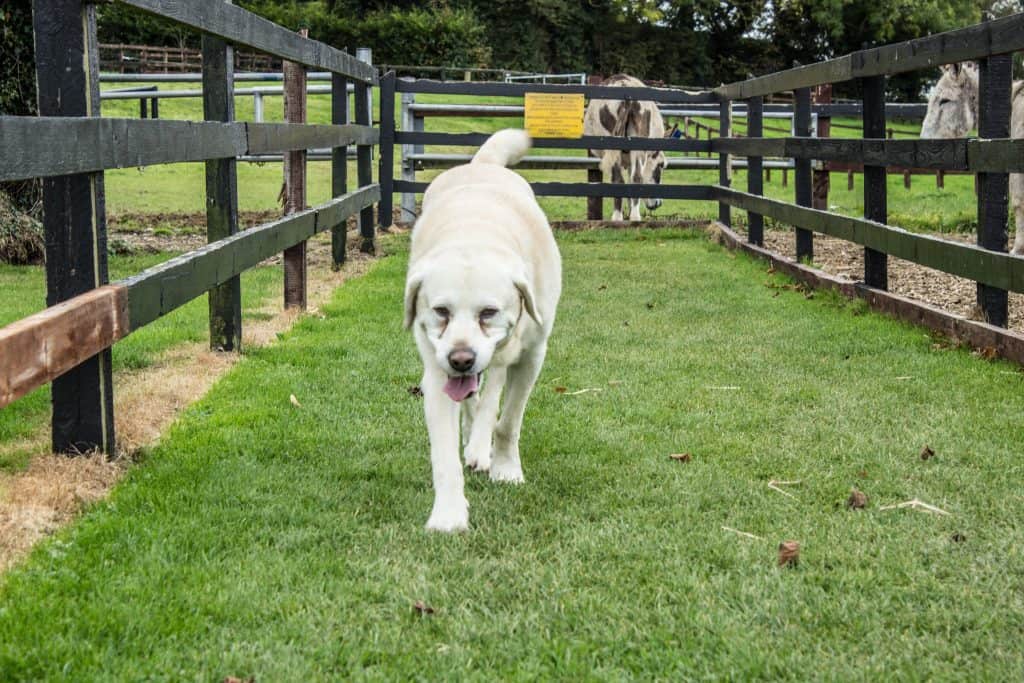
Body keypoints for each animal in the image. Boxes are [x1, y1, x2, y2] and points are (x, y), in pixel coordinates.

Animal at [401, 129, 561, 532]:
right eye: (440, 311)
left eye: (488, 312)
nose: (461, 359)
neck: (475, 233)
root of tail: (482, 165)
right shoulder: (436, 369)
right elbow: (445, 455)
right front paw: (448, 514)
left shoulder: (532, 356)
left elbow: (507, 419)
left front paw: (504, 468)